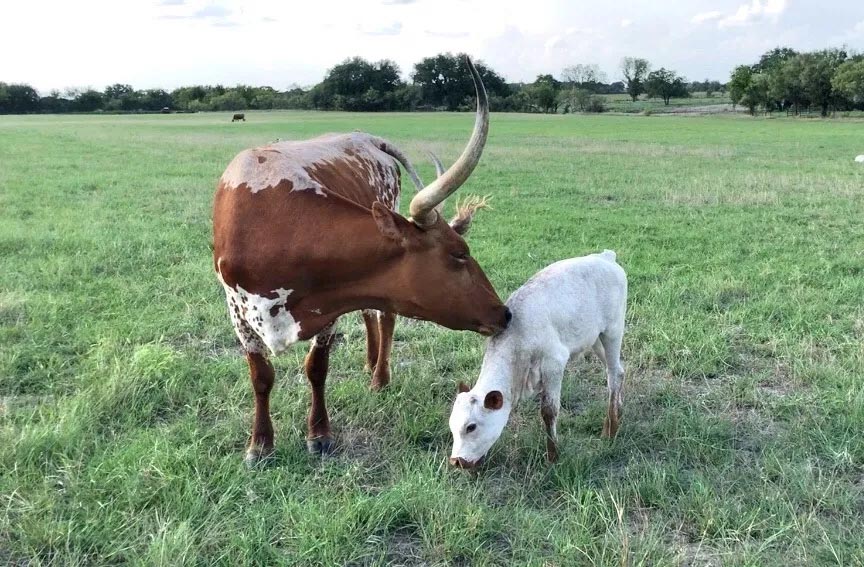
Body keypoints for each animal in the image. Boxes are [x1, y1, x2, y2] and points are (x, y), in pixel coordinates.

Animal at [213, 57, 510, 466]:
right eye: (459, 254)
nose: (505, 313)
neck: (272, 226)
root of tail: (366, 138)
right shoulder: (238, 312)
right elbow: (261, 376)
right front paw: (260, 443)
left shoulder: (327, 307)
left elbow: (316, 368)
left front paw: (319, 434)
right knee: (372, 310)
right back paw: (371, 362)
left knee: (386, 316)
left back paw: (379, 376)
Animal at [448, 251, 624, 468]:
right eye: (452, 426)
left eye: (470, 427)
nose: (456, 461)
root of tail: (605, 256)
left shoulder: (554, 362)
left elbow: (549, 410)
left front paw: (553, 456)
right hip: (595, 338)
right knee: (619, 370)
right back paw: (619, 410)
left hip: (613, 330)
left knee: (613, 375)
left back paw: (610, 429)